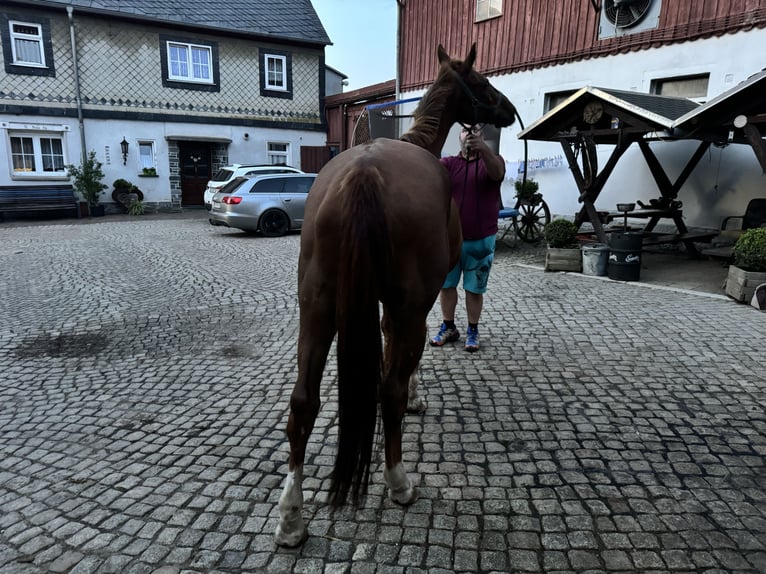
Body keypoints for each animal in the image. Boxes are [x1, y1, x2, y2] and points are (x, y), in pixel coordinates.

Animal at [272, 42, 520, 548]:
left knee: (303, 400)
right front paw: (417, 398)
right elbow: (404, 362)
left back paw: (290, 517)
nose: (508, 110)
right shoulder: (414, 303)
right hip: (401, 303)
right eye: (482, 82)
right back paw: (398, 480)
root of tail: (363, 172)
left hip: (316, 308)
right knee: (388, 390)